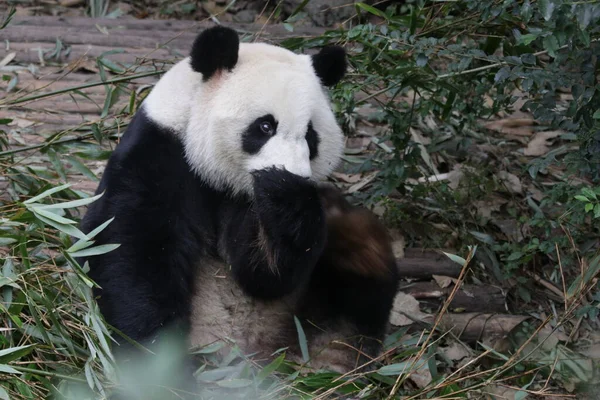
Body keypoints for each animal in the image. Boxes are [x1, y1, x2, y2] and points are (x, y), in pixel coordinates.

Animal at [78, 25, 398, 382]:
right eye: (265, 125)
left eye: (311, 135)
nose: (295, 173)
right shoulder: (157, 157)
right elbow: (133, 251)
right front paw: (162, 364)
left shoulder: (247, 201)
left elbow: (266, 274)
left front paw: (290, 195)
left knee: (354, 306)